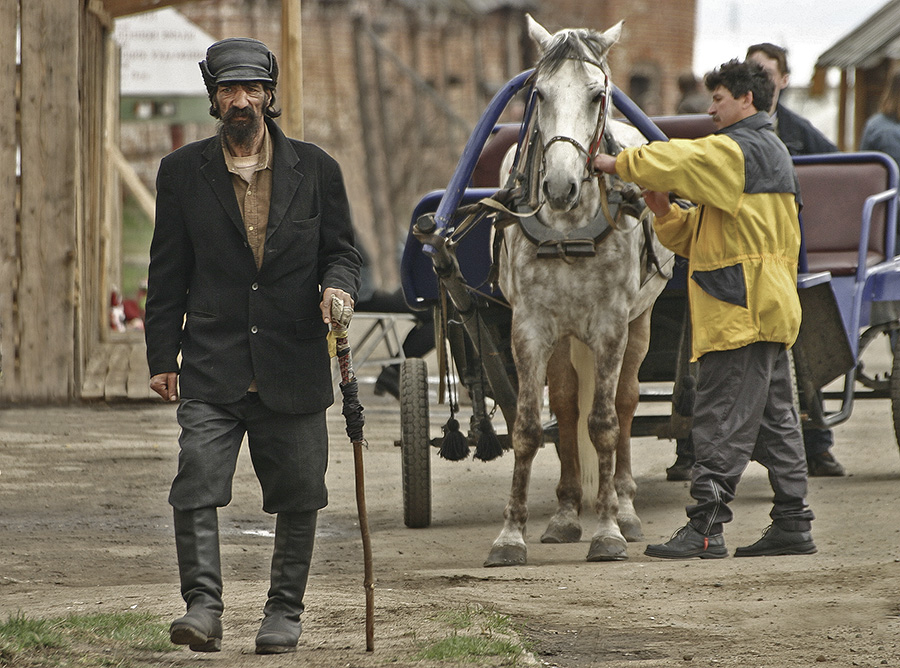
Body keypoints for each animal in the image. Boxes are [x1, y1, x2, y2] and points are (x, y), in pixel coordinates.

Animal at [486, 15, 676, 568]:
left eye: (597, 95)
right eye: (539, 93)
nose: (559, 186)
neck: (568, 226)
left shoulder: (611, 324)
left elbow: (606, 423)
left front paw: (609, 530)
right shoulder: (529, 326)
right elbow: (530, 426)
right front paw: (511, 536)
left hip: (639, 321)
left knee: (627, 403)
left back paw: (626, 505)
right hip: (564, 335)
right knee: (568, 404)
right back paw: (567, 512)